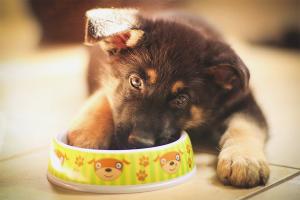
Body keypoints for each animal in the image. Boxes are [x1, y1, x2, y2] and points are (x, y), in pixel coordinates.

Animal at [67, 9, 270, 188]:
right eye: (135, 82)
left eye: (181, 99)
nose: (140, 143)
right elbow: (105, 95)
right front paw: (88, 130)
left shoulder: (243, 101)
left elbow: (244, 126)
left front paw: (244, 159)